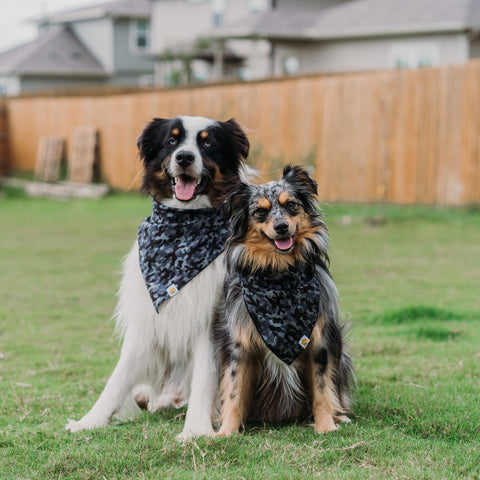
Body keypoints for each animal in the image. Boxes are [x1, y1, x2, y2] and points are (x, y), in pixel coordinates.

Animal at [66, 116, 249, 438]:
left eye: (208, 143)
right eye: (171, 141)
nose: (185, 157)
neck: (183, 225)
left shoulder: (209, 322)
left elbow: (204, 377)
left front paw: (195, 430)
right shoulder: (146, 320)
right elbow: (117, 378)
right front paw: (90, 421)